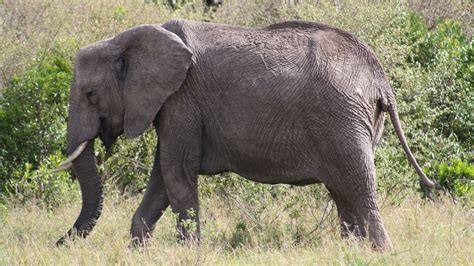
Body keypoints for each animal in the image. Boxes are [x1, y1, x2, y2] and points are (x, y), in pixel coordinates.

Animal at [53, 19, 436, 251]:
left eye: (90, 94)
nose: (58, 243)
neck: (125, 40)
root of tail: (380, 78)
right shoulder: (173, 107)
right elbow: (162, 179)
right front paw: (138, 251)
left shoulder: (181, 100)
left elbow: (176, 174)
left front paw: (189, 252)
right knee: (345, 196)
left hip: (343, 120)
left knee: (359, 192)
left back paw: (382, 253)